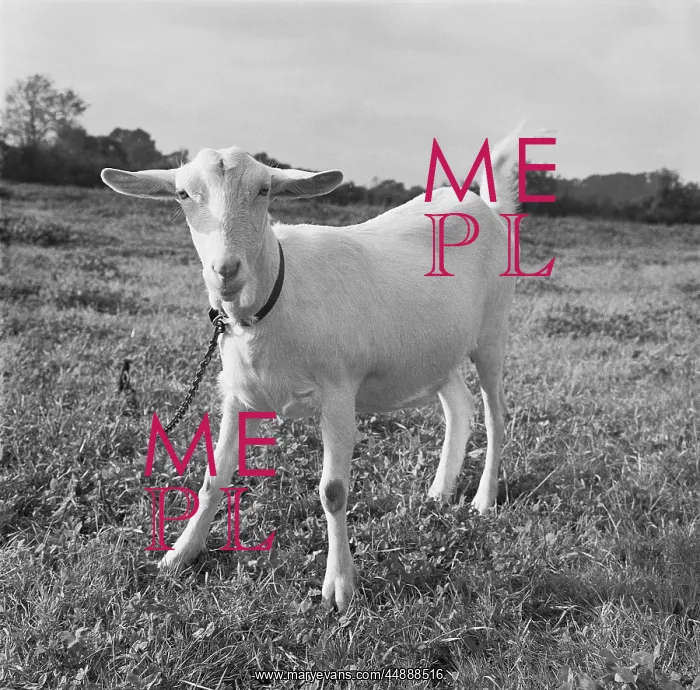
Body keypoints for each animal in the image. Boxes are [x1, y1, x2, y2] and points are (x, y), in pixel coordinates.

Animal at [100, 131, 517, 612]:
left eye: (264, 190)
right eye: (183, 195)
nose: (226, 270)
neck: (274, 299)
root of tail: (487, 207)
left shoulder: (338, 392)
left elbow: (332, 490)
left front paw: (340, 587)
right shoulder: (236, 395)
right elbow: (212, 479)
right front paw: (179, 553)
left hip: (493, 331)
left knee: (495, 415)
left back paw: (483, 498)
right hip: (436, 350)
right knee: (459, 406)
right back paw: (440, 491)